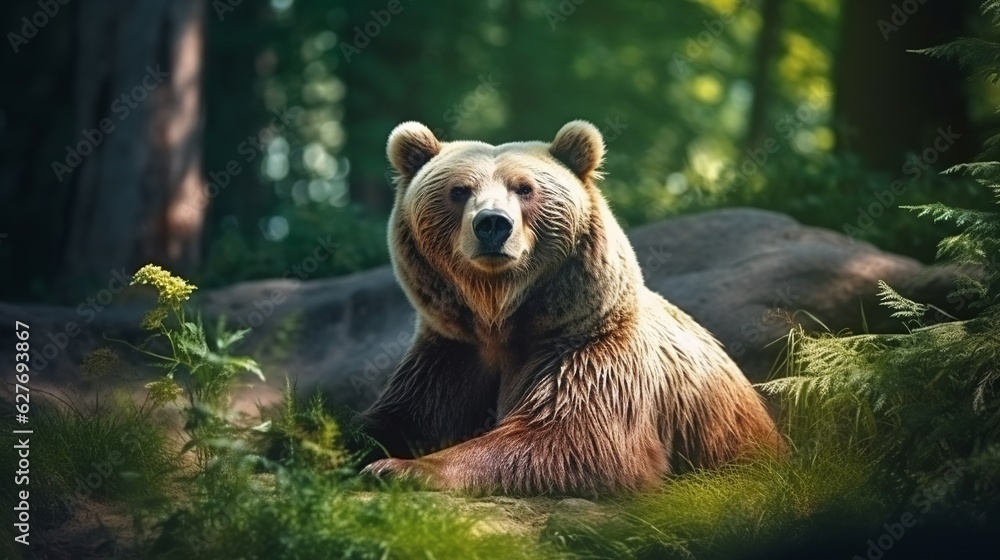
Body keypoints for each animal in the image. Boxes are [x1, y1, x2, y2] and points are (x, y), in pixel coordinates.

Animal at [359, 120, 784, 496]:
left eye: (524, 187)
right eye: (459, 190)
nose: (493, 224)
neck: (498, 313)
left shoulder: (587, 354)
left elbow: (573, 439)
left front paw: (399, 467)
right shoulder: (451, 355)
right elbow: (394, 419)